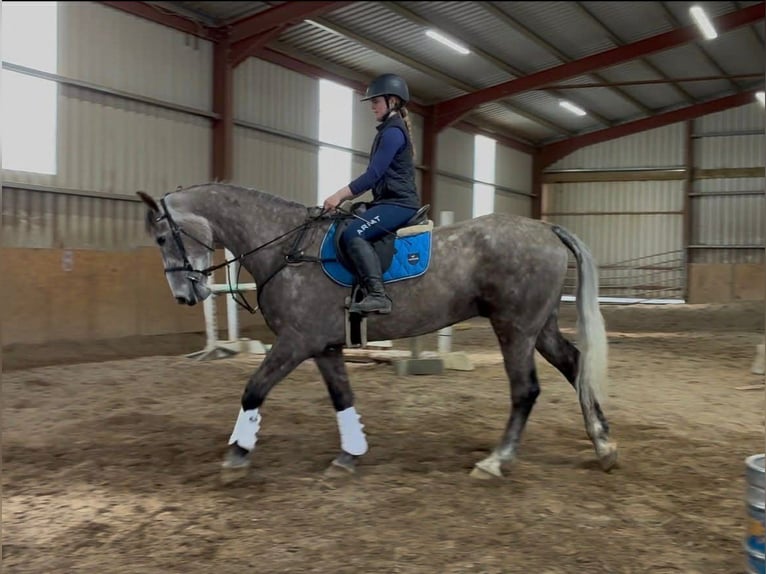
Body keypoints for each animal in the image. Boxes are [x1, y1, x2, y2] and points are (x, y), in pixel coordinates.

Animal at [137, 182, 617, 479]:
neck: (287, 248)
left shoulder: (296, 342)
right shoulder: (324, 347)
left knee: (525, 390)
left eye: (161, 238)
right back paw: (604, 446)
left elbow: (254, 389)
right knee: (575, 366)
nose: (185, 295)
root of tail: (547, 228)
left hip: (514, 329)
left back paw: (496, 462)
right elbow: (342, 398)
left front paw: (237, 454)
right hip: (539, 327)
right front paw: (349, 456)